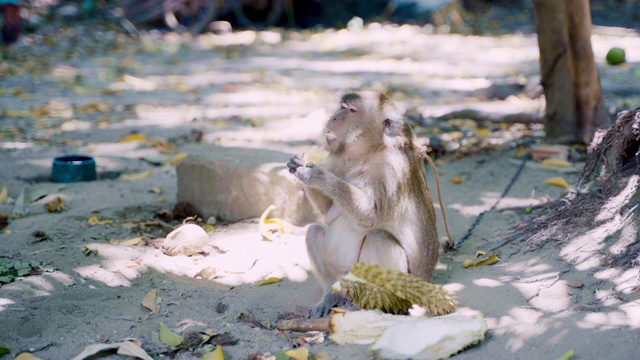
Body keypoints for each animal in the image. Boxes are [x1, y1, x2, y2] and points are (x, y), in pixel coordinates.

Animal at [288, 90, 440, 318]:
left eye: (352, 110)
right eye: (342, 107)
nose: (334, 117)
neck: (369, 152)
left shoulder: (389, 169)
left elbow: (370, 217)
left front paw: (318, 176)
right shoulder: (338, 159)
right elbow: (327, 214)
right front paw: (298, 164)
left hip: (404, 289)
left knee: (379, 238)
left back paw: (374, 304)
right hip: (343, 277)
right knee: (313, 232)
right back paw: (333, 295)